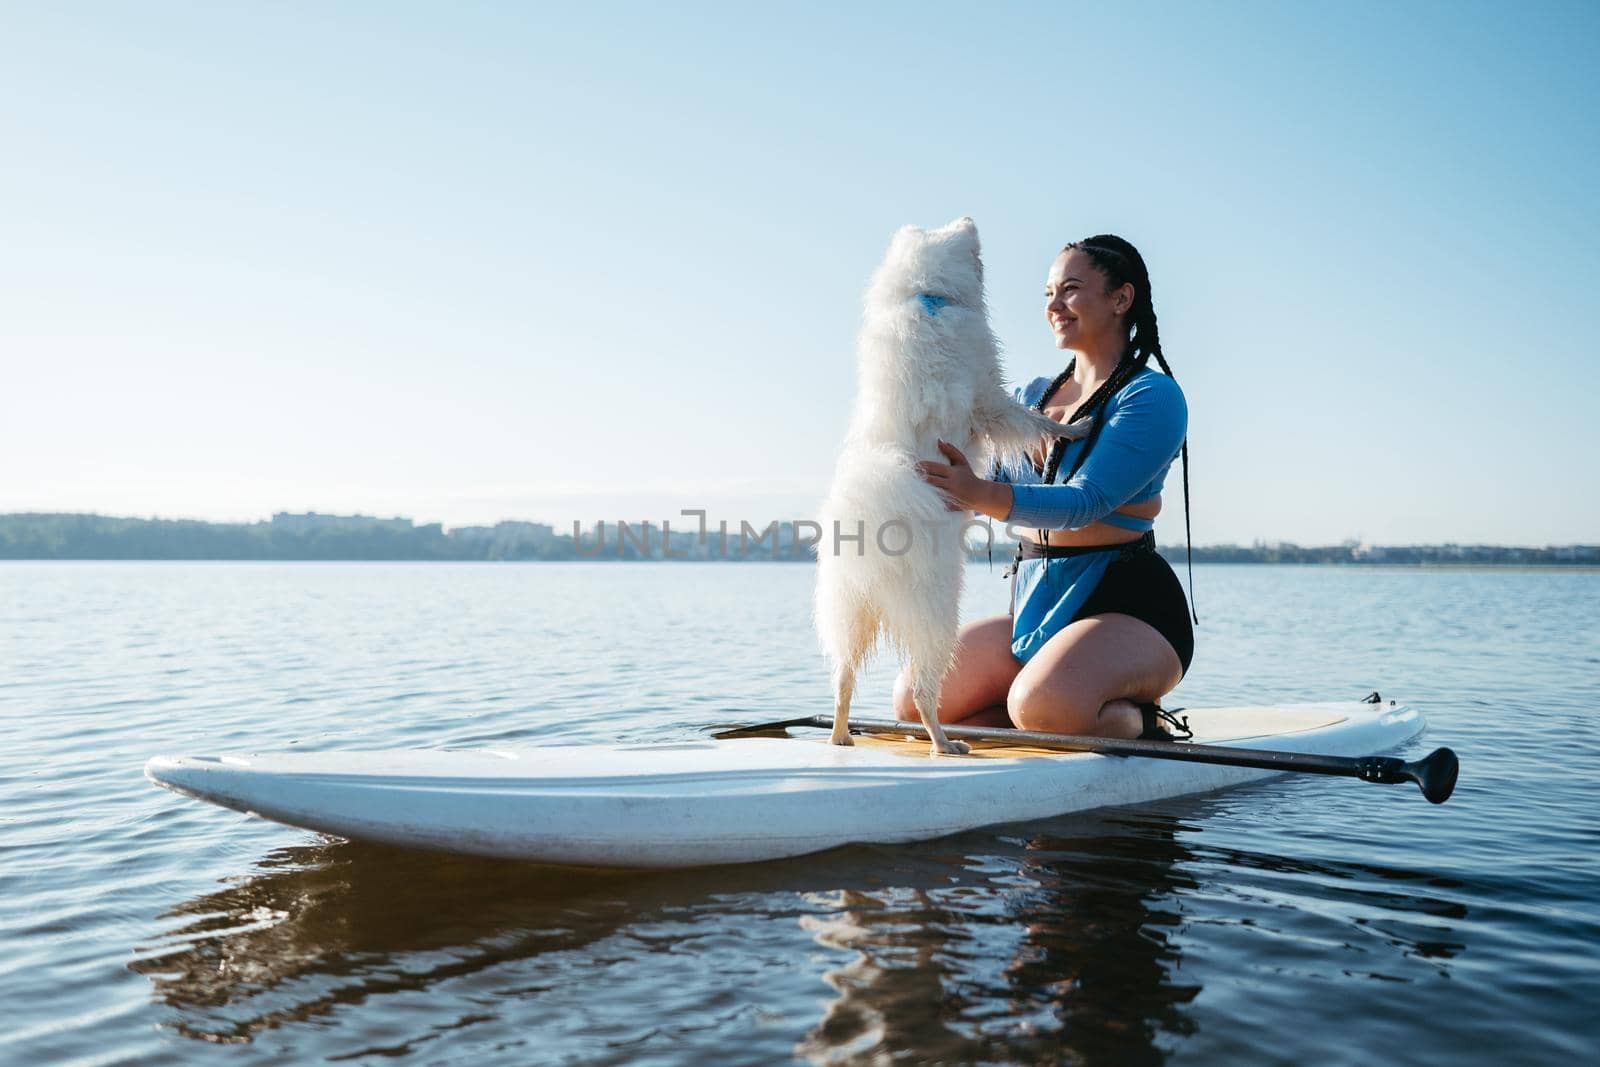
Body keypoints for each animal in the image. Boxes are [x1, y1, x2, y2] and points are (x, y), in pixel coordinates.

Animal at [812, 217, 1088, 755]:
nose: (969, 219)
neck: (927, 296)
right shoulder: (988, 395)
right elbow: (1030, 418)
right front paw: (1071, 428)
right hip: (939, 618)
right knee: (923, 691)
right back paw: (945, 743)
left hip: (851, 615)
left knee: (842, 679)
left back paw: (841, 738)